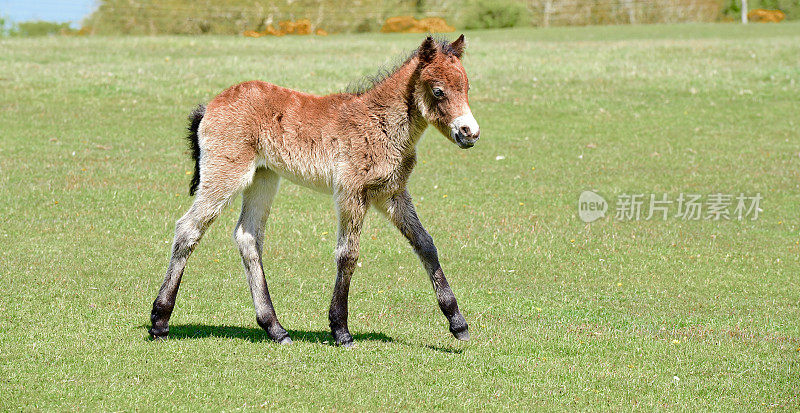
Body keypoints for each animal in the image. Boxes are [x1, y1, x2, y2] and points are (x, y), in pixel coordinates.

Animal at [150, 35, 482, 346]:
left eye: (466, 88)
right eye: (438, 91)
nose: (470, 133)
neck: (380, 122)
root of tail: (210, 105)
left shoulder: (391, 194)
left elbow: (425, 244)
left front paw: (458, 323)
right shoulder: (351, 192)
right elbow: (348, 254)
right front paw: (341, 329)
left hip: (263, 178)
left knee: (248, 236)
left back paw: (275, 328)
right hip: (226, 175)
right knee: (188, 229)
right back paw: (160, 321)